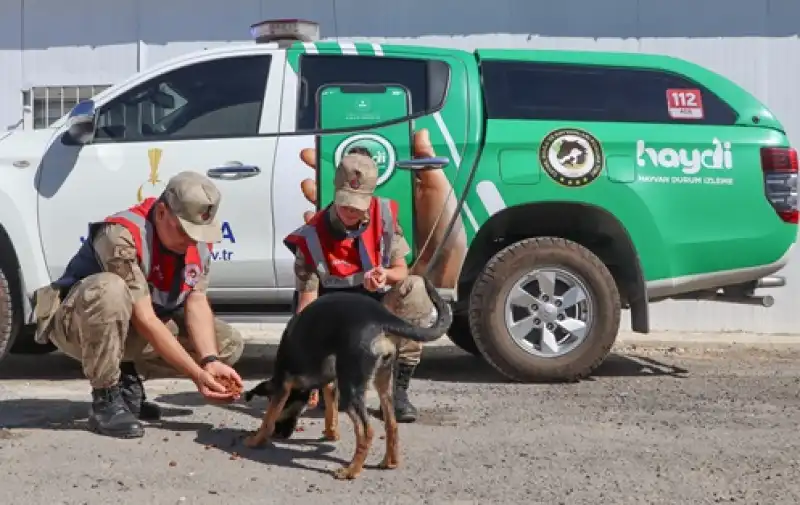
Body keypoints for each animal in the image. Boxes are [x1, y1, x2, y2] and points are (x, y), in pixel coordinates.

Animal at [241, 276, 454, 480]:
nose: (281, 435)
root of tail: (381, 317)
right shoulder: (330, 383)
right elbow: (330, 412)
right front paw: (331, 433)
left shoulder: (282, 384)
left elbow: (269, 417)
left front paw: (256, 439)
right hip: (383, 381)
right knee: (391, 424)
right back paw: (390, 461)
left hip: (350, 389)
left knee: (367, 431)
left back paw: (352, 470)